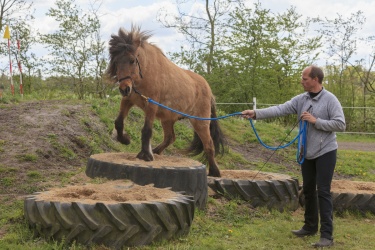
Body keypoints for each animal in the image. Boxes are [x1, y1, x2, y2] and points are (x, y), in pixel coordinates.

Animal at [108, 26, 226, 177]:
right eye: (116, 61)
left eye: (132, 60)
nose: (124, 88)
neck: (146, 73)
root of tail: (208, 89)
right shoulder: (128, 100)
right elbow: (118, 122)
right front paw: (125, 140)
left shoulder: (151, 105)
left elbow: (146, 130)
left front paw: (145, 155)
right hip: (167, 118)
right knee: (170, 137)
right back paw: (156, 151)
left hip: (200, 122)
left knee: (209, 145)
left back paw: (214, 171)